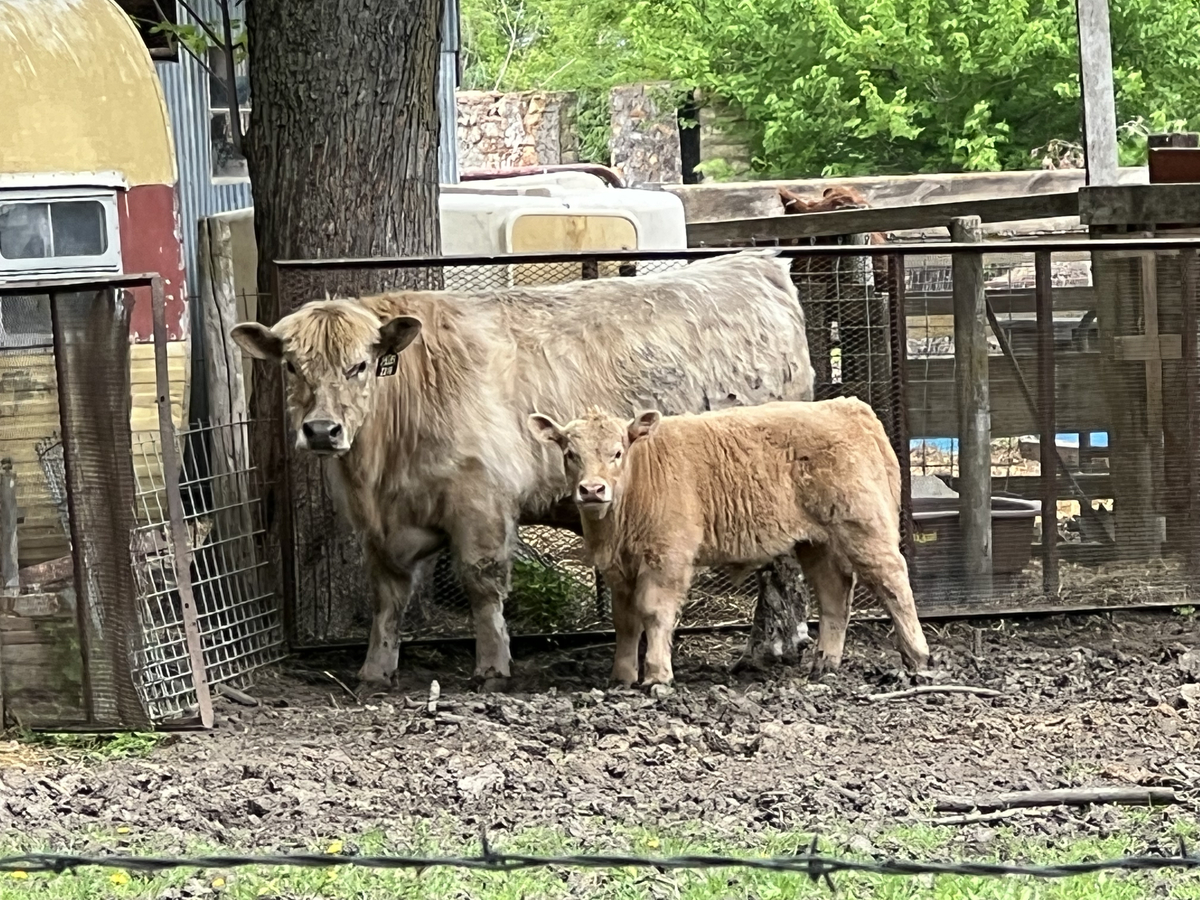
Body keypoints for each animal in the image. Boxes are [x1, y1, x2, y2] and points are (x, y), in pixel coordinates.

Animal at [230, 249, 816, 690]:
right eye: (292, 366)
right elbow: (388, 595)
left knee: (780, 566)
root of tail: (756, 264)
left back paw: (768, 648)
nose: (321, 430)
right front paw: (376, 669)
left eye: (360, 366)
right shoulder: (380, 527)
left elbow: (482, 582)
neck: (380, 472)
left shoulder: (481, 502)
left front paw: (492, 666)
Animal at [527, 399, 931, 686]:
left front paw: (657, 676)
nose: (592, 490)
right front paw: (621, 677)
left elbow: (654, 613)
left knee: (893, 580)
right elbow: (625, 621)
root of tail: (847, 406)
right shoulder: (618, 570)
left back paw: (918, 657)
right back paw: (824, 665)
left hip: (864, 527)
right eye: (570, 454)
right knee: (835, 596)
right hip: (816, 542)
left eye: (617, 452)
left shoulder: (666, 558)